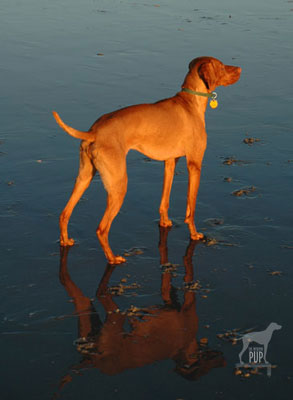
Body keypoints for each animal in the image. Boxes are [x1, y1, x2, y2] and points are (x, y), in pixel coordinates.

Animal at [52, 55, 240, 262]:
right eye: (222, 66)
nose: (240, 69)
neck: (190, 103)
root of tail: (93, 132)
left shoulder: (170, 162)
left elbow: (164, 200)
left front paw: (165, 222)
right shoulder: (194, 165)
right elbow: (191, 208)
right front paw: (194, 234)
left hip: (84, 178)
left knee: (64, 213)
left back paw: (65, 240)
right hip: (118, 186)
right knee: (101, 229)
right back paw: (113, 258)